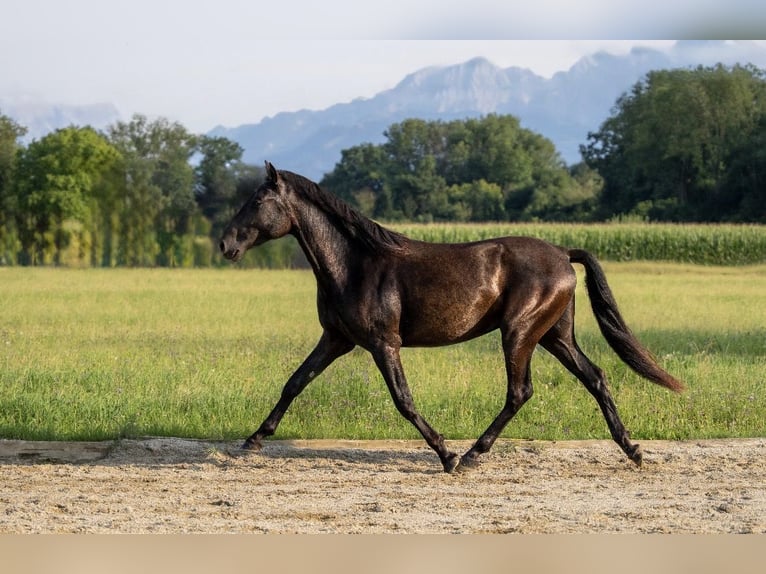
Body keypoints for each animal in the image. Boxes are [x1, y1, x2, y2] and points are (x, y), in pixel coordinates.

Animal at [219, 161, 684, 473]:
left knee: (521, 391)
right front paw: (254, 439)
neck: (355, 264)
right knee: (595, 377)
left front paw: (447, 454)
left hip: (520, 333)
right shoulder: (336, 338)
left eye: (258, 201)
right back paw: (633, 450)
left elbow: (403, 400)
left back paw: (474, 454)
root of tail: (562, 253)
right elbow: (295, 382)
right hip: (555, 336)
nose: (226, 244)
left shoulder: (383, 343)